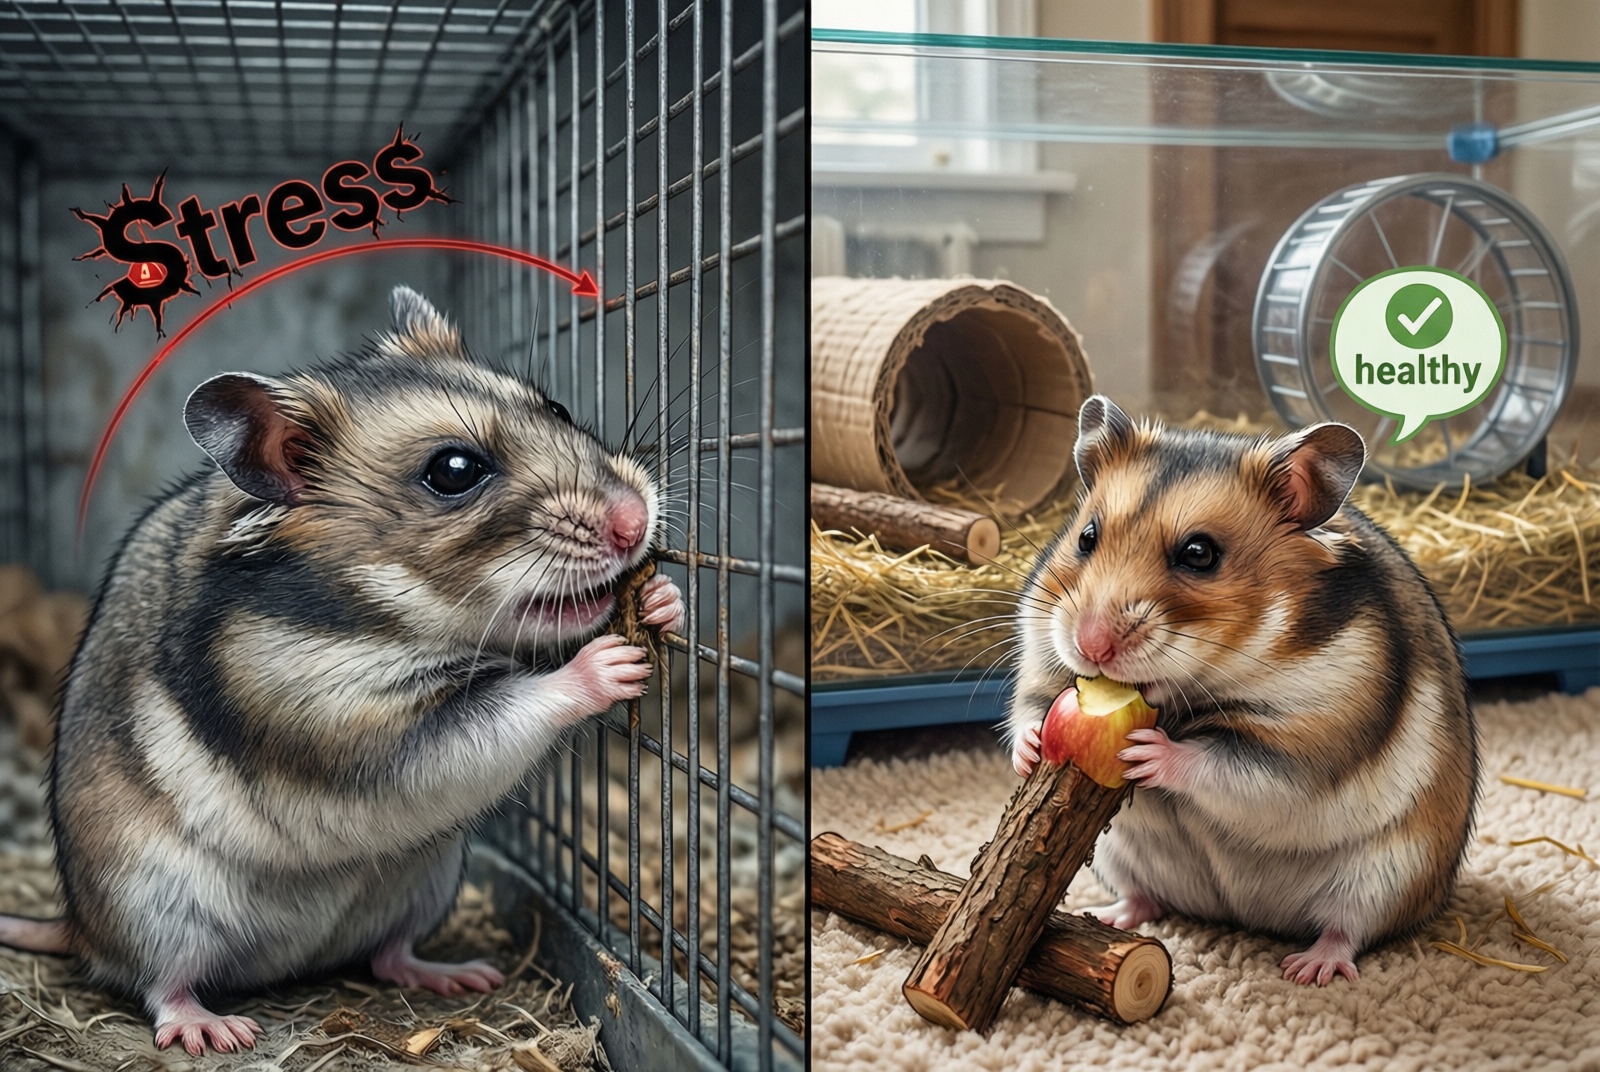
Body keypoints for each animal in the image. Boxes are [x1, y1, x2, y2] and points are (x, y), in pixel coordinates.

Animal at [0, 286, 685, 1054]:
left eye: (558, 409)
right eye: (453, 471)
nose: (636, 522)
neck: (385, 616)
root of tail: (80, 926)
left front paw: (663, 601)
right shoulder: (352, 727)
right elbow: (504, 711)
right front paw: (608, 661)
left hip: (424, 881)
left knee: (387, 955)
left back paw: (459, 974)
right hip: (154, 902)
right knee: (159, 982)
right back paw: (213, 1029)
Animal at [1007, 395, 1476, 986]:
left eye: (1199, 553)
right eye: (1086, 537)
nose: (1090, 646)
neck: (1189, 691)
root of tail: (1240, 914)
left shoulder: (1306, 742)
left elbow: (1227, 766)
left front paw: (1147, 752)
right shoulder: (1039, 658)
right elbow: (1028, 711)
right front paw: (1032, 751)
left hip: (1390, 873)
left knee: (1348, 931)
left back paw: (1308, 968)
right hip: (1122, 857)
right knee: (1147, 898)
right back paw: (1110, 917)